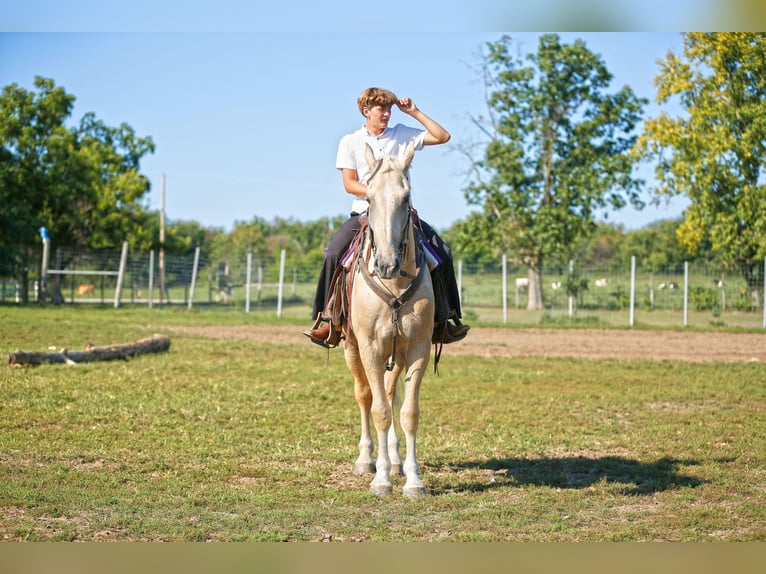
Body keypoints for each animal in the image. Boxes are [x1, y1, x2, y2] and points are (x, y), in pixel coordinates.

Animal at [344, 142, 436, 498]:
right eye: (369, 198)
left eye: (406, 197)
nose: (385, 264)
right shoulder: (369, 347)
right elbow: (380, 411)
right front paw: (381, 479)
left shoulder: (419, 348)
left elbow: (408, 412)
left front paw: (412, 479)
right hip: (353, 349)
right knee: (365, 395)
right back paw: (366, 460)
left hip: (396, 353)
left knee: (388, 390)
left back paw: (396, 461)